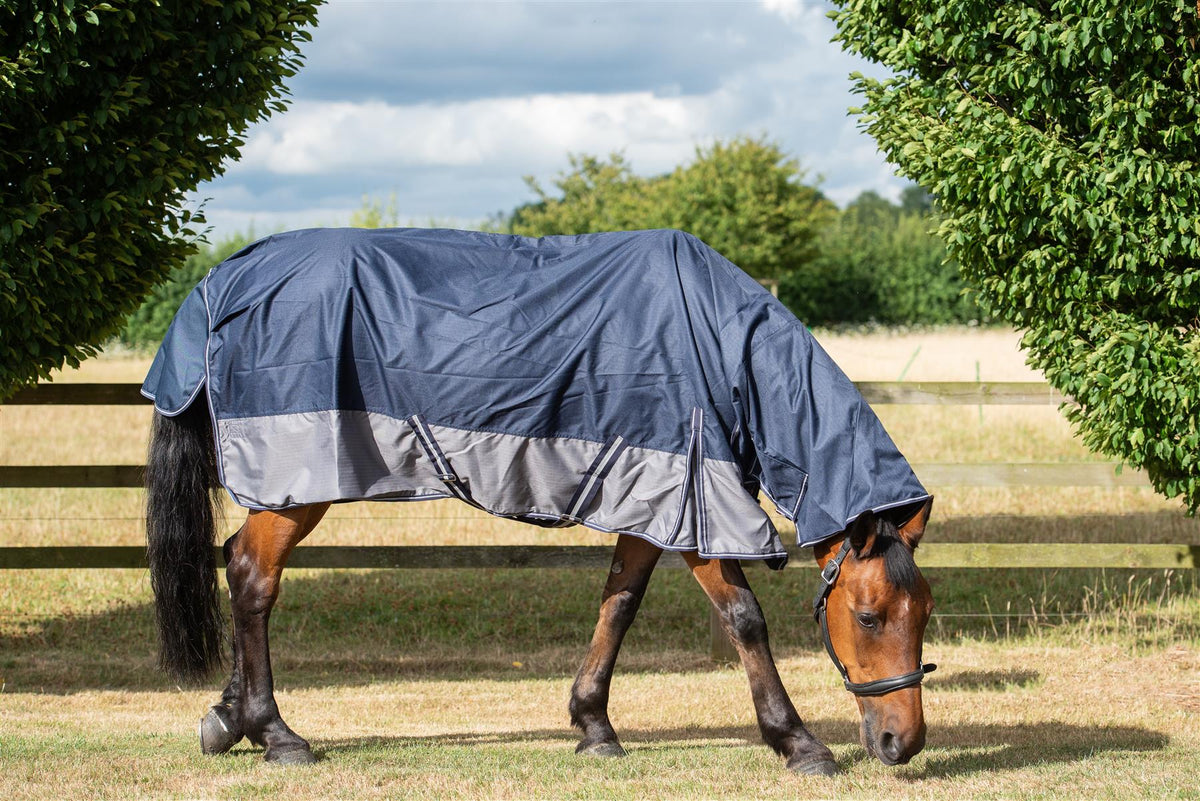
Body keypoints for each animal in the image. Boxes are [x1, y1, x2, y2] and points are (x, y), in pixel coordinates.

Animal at [143, 227, 935, 775]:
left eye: (925, 613)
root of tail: (224, 279)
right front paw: (797, 741)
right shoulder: (694, 497)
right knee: (253, 577)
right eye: (868, 615)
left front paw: (594, 726)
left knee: (235, 562)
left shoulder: (649, 497)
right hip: (296, 485)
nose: (902, 741)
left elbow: (618, 605)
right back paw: (275, 732)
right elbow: (743, 619)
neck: (713, 342)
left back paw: (226, 719)